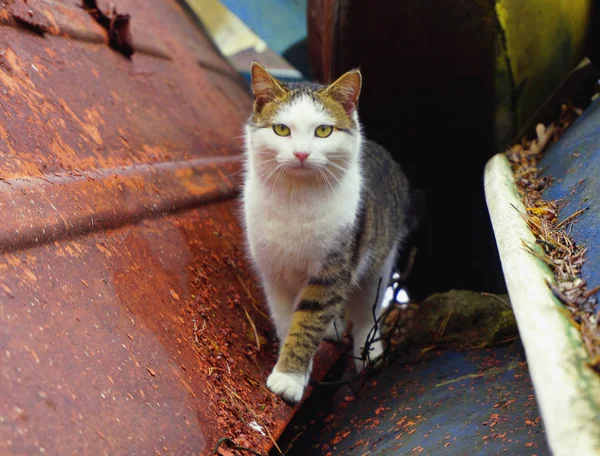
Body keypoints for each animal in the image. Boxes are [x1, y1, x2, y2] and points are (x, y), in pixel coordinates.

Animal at [240, 61, 412, 402]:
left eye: (323, 131)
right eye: (282, 130)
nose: (302, 154)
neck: (295, 200)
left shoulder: (333, 270)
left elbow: (308, 322)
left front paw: (289, 379)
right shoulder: (274, 273)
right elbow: (287, 321)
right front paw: (293, 365)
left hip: (379, 264)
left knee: (366, 313)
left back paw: (369, 351)